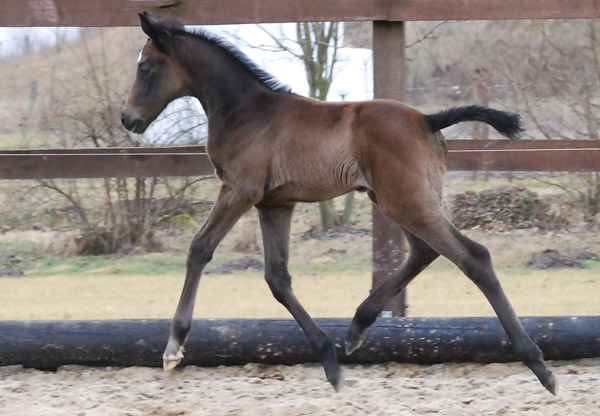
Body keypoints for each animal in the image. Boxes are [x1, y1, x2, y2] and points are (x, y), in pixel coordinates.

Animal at [122, 13, 556, 394]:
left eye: (145, 67)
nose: (128, 120)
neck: (247, 110)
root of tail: (427, 120)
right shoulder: (274, 204)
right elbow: (277, 278)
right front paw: (329, 361)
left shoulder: (238, 190)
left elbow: (200, 249)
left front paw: (174, 347)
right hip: (396, 199)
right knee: (424, 250)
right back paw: (355, 329)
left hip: (405, 201)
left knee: (473, 256)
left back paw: (539, 366)